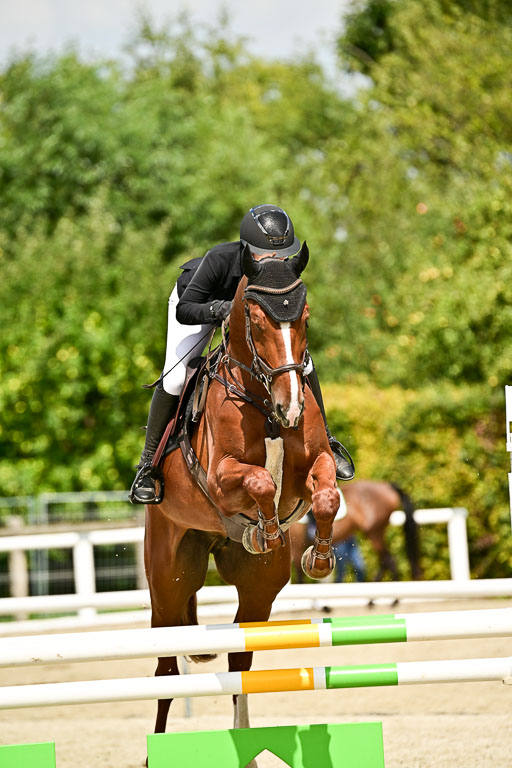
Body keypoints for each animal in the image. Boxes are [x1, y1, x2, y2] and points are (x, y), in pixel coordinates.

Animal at [144, 242, 340, 743]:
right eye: (255, 318)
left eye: (304, 316)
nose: (291, 407)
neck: (263, 401)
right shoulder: (219, 479)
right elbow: (259, 481)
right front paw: (264, 531)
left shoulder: (315, 466)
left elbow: (326, 495)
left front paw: (318, 558)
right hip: (168, 581)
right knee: (165, 672)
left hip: (258, 588)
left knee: (240, 658)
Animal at [290, 480, 423, 583]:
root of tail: (386, 486)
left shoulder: (296, 548)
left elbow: (300, 578)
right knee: (386, 561)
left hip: (375, 532)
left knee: (389, 561)